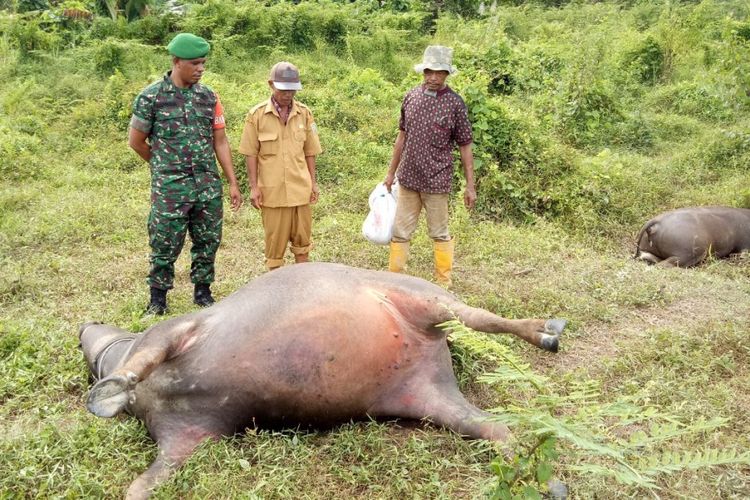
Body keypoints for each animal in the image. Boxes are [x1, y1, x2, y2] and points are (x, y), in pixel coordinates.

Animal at [81, 264, 564, 498]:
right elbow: (139, 488)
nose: (85, 325)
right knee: (494, 427)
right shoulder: (186, 436)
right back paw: (544, 480)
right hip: (427, 395)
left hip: (428, 299)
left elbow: (139, 363)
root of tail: (430, 343)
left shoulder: (173, 332)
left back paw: (547, 332)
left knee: (481, 317)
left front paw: (108, 393)